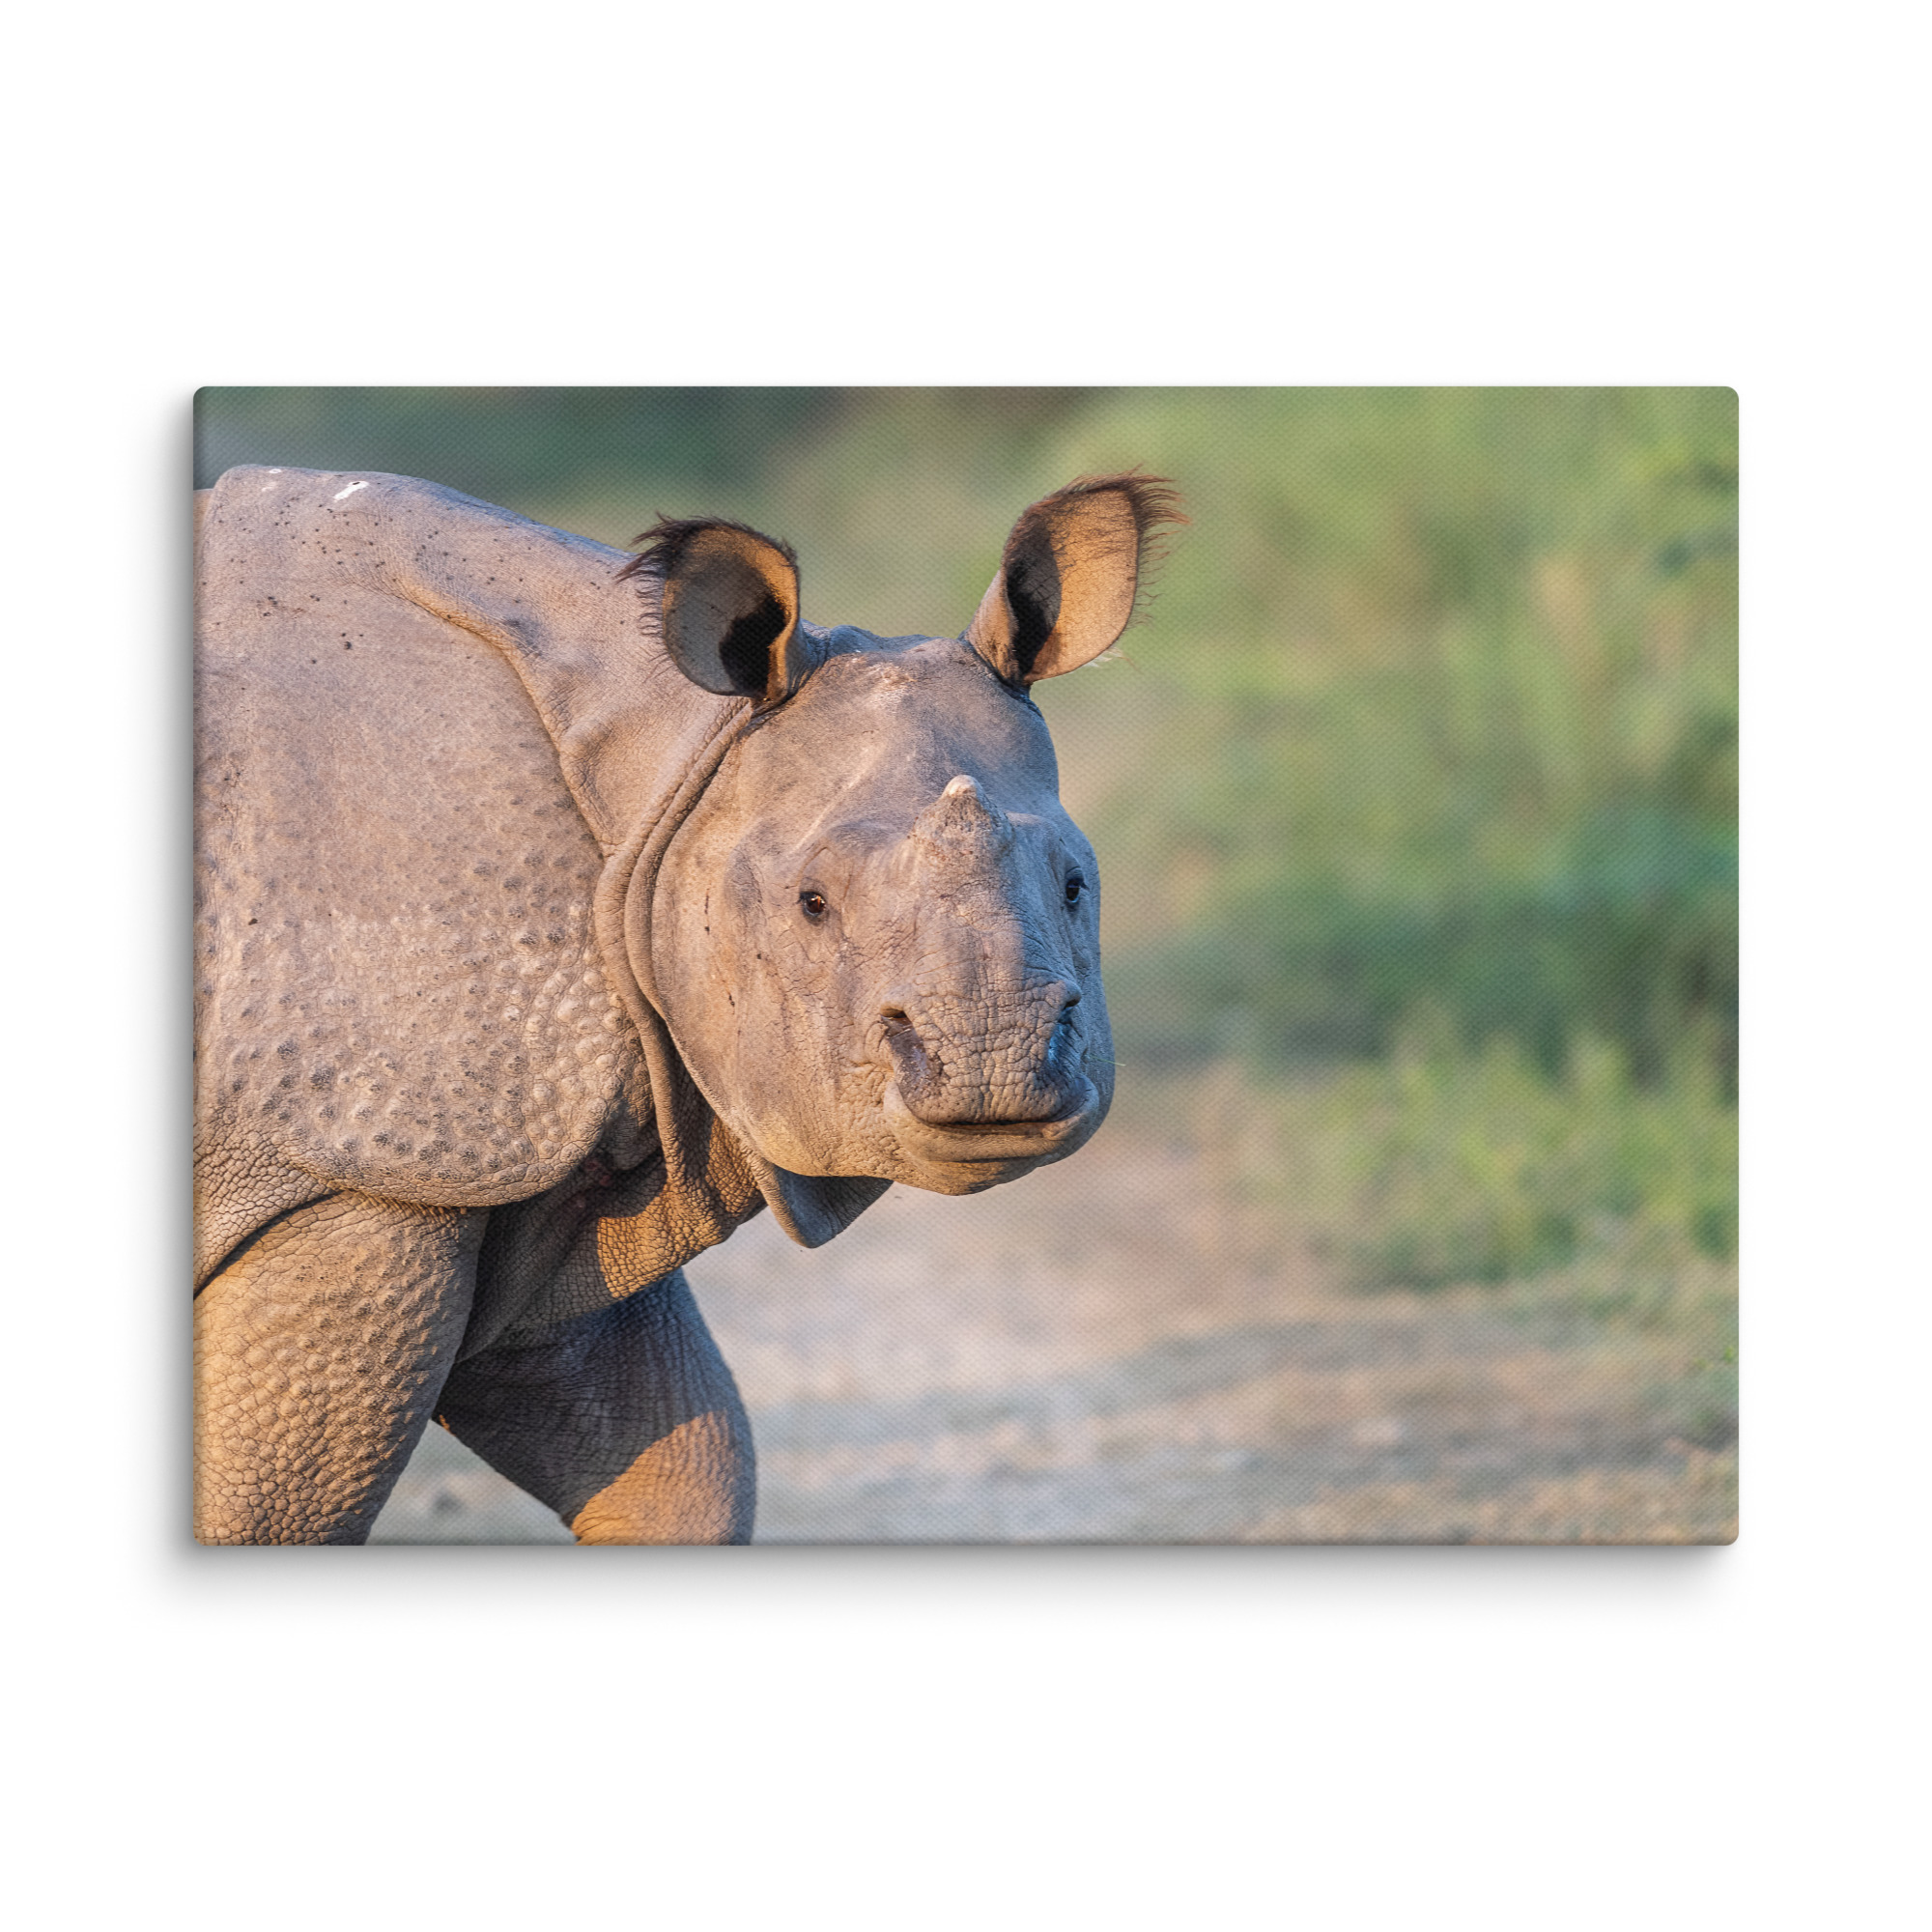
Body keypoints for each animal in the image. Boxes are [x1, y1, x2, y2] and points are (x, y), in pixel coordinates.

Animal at [194, 462, 1179, 1543]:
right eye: (811, 903)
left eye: (1075, 886)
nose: (995, 1064)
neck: (673, 768)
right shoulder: (364, 1168)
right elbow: (273, 1517)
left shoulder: (531, 1174)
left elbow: (684, 1460)